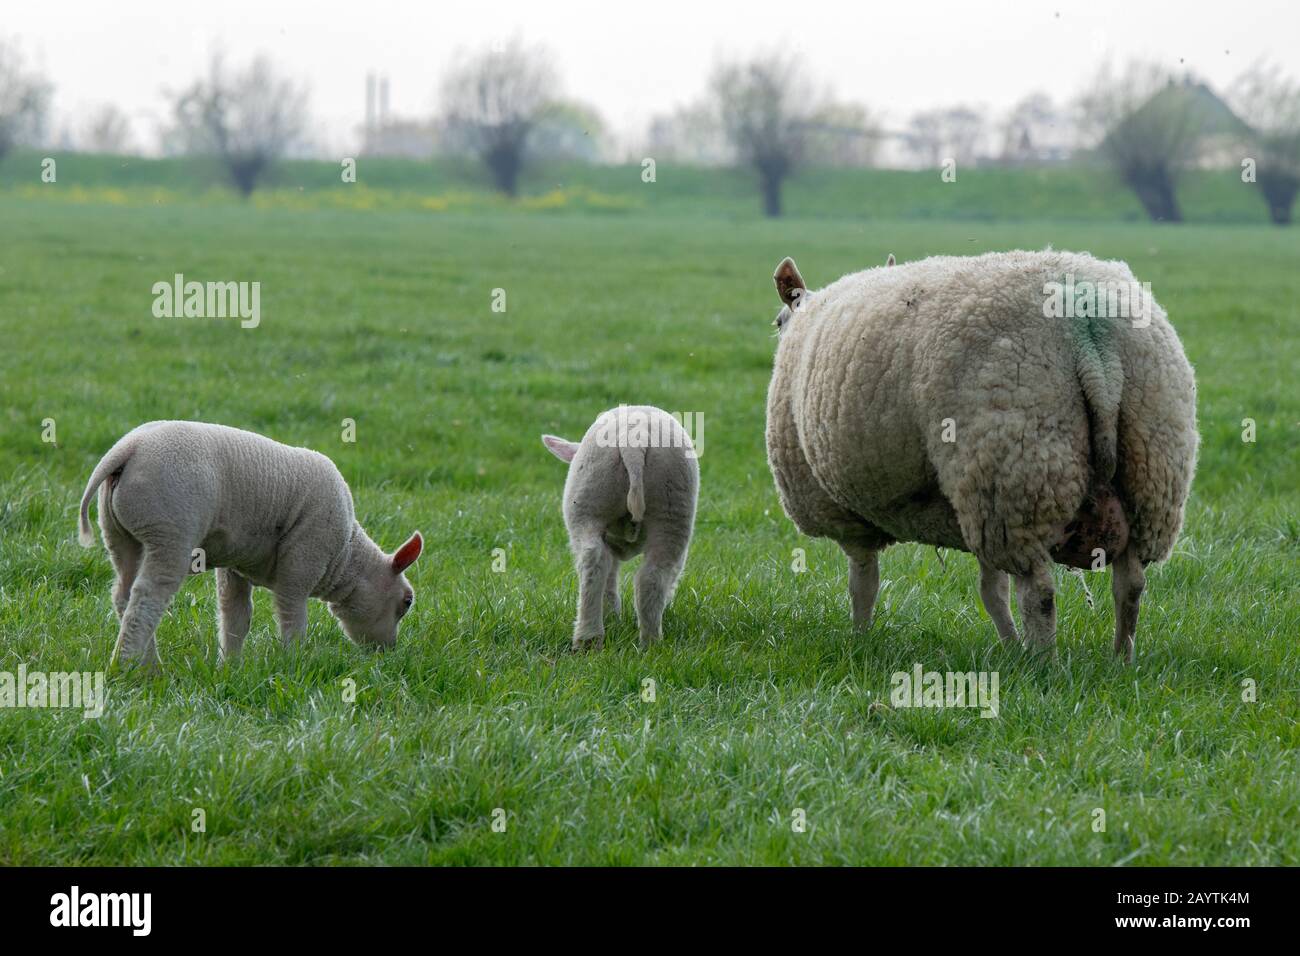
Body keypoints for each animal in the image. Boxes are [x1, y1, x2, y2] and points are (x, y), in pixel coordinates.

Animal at [77, 421, 423, 669]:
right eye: (407, 601)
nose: (387, 653)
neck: (346, 556)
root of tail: (128, 449)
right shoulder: (301, 564)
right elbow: (293, 619)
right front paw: (294, 663)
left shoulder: (236, 566)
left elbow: (236, 616)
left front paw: (230, 666)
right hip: (170, 534)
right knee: (147, 597)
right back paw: (132, 667)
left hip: (120, 535)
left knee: (123, 594)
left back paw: (144, 663)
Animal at [542, 405, 699, 650]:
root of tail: (634, 437)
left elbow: (610, 575)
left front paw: (610, 615)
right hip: (663, 506)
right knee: (640, 572)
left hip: (597, 498)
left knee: (612, 566)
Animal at [765, 251, 1197, 660]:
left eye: (777, 321)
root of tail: (1089, 332)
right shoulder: (972, 501)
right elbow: (992, 590)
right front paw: (1009, 646)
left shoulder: (849, 517)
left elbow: (863, 584)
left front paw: (860, 640)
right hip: (1147, 470)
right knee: (1131, 584)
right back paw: (1121, 659)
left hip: (1015, 469)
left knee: (1040, 591)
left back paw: (1043, 665)